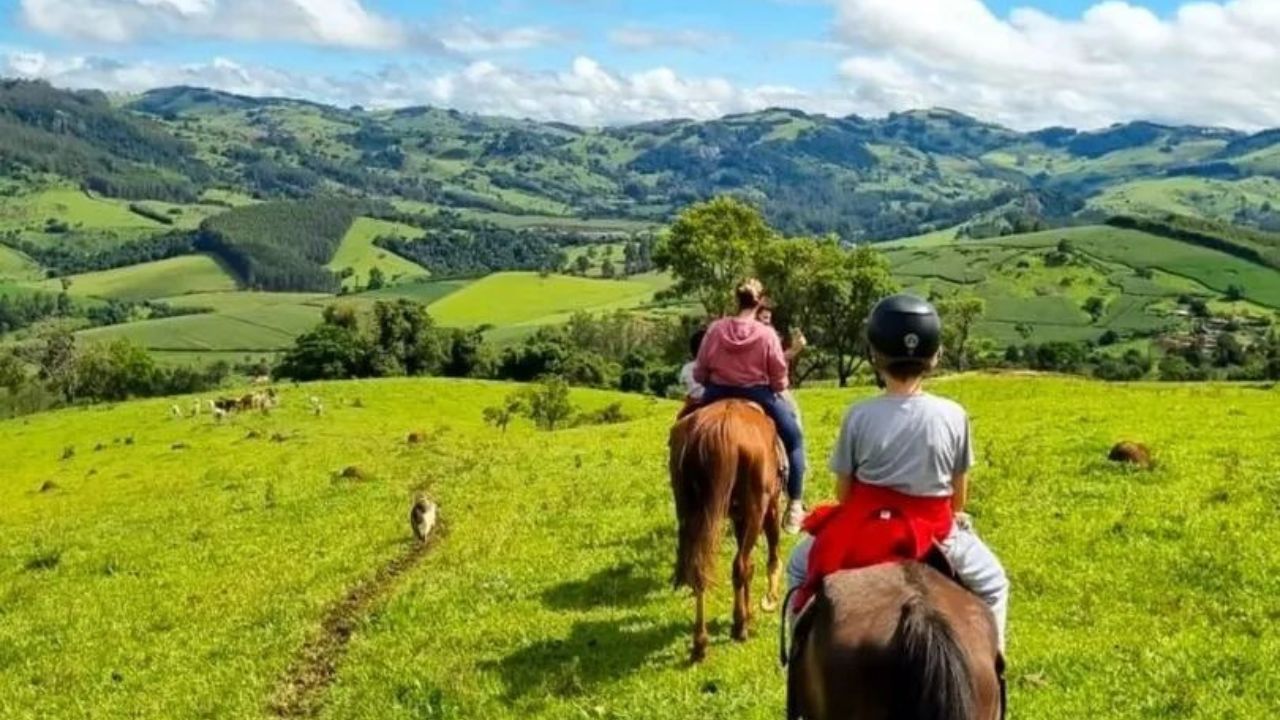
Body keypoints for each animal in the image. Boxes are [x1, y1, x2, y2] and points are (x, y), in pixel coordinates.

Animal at [670, 397, 778, 661]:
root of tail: (721, 429)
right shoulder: (767, 506)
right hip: (756, 509)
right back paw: (739, 627)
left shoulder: (738, 517)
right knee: (740, 566)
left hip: (690, 511)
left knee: (699, 568)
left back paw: (700, 643)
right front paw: (762, 605)